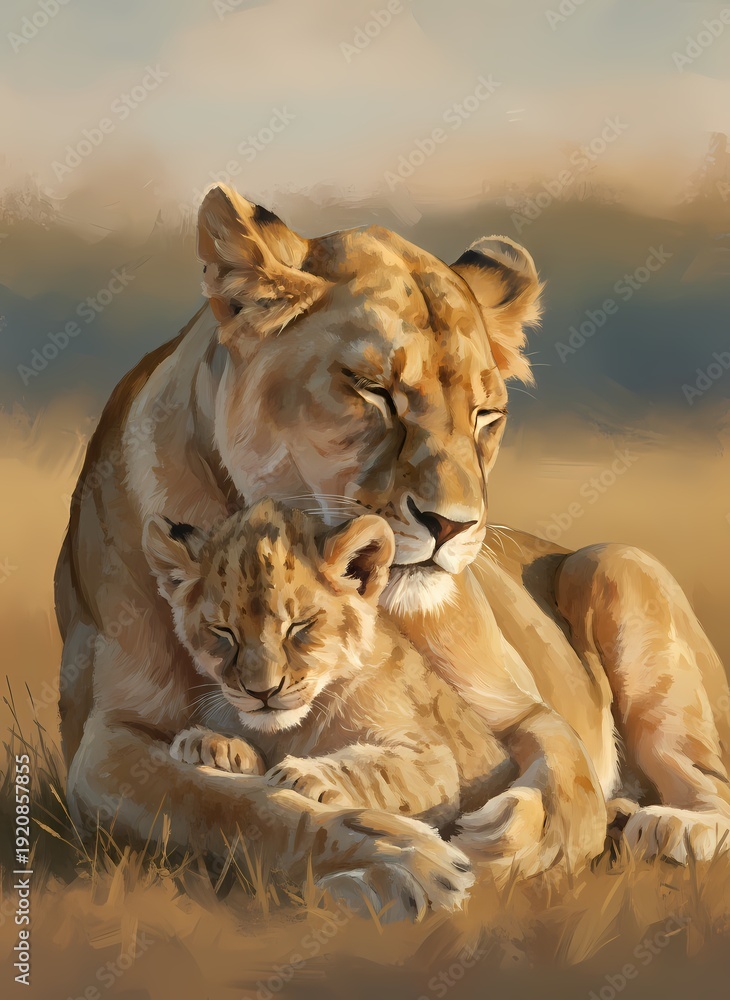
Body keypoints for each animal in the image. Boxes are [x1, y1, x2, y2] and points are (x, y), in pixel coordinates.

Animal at [55, 183, 730, 915]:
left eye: (486, 415)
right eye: (373, 390)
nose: (452, 525)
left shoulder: (524, 711)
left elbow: (564, 789)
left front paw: (493, 845)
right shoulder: (105, 744)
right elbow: (236, 808)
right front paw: (394, 854)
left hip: (615, 566)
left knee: (707, 778)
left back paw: (670, 828)